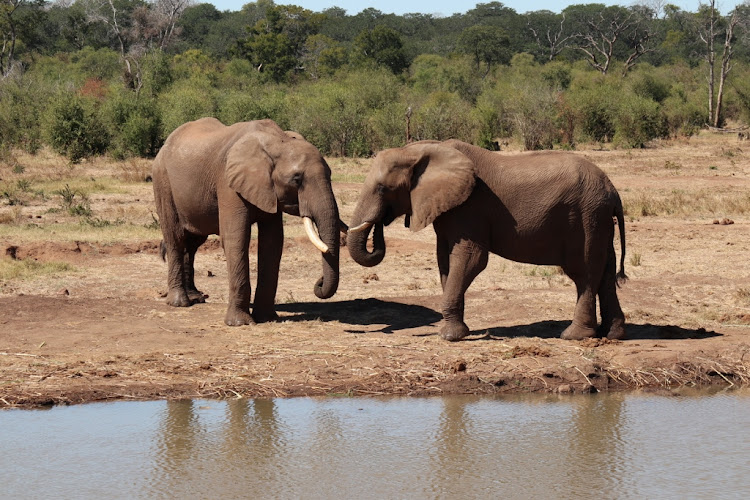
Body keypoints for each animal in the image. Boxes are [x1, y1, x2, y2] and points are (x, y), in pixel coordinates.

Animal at [154, 118, 342, 326]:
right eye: (296, 179)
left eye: (330, 174)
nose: (319, 283)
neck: (277, 140)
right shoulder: (228, 183)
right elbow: (237, 238)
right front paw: (240, 323)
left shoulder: (268, 189)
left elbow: (273, 241)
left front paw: (267, 319)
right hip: (162, 181)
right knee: (175, 238)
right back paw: (179, 303)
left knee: (193, 243)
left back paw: (196, 298)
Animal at [348, 142, 628, 344]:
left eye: (383, 188)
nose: (381, 222)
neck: (417, 150)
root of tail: (613, 191)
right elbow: (444, 261)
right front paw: (457, 330)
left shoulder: (470, 208)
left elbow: (471, 259)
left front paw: (449, 337)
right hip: (599, 220)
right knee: (605, 272)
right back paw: (612, 334)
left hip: (587, 218)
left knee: (584, 273)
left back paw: (574, 336)